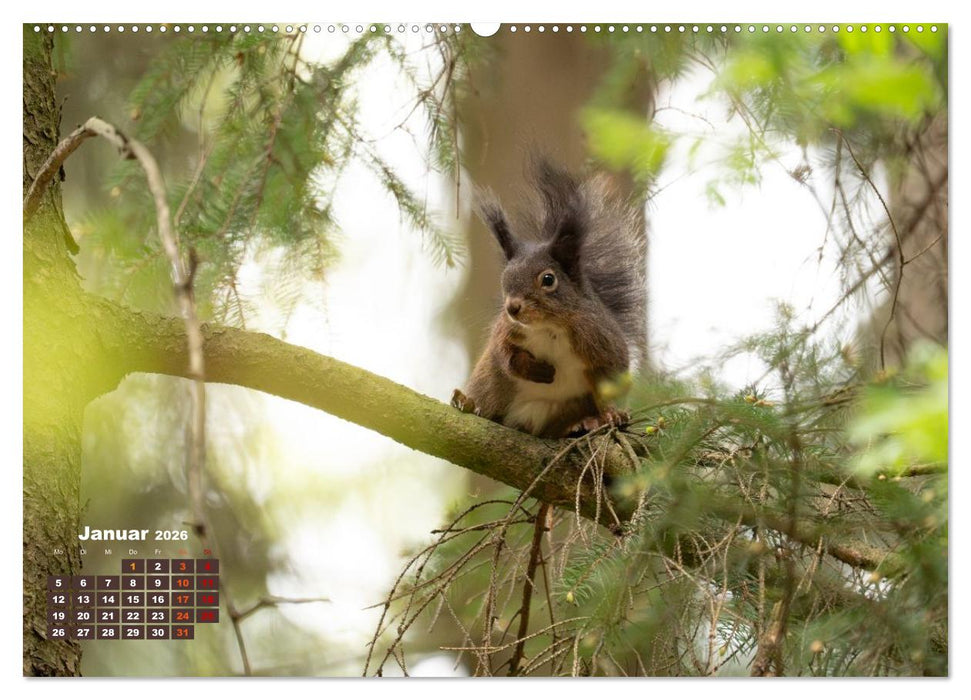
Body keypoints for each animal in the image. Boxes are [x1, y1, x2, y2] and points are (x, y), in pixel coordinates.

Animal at [452, 159, 647, 440]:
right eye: (505, 278)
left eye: (548, 279)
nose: (512, 308)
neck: (549, 326)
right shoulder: (507, 332)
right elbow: (507, 357)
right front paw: (539, 371)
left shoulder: (602, 340)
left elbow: (610, 378)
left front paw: (612, 414)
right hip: (490, 384)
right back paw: (466, 403)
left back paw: (586, 423)